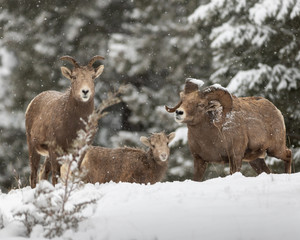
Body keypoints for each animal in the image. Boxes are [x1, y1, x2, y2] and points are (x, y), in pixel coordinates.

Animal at [26, 55, 105, 188]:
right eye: (74, 77)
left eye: (92, 77)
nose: (85, 91)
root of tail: (33, 101)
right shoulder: (55, 150)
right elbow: (56, 176)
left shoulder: (80, 151)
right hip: (33, 147)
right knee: (34, 174)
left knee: (43, 172)